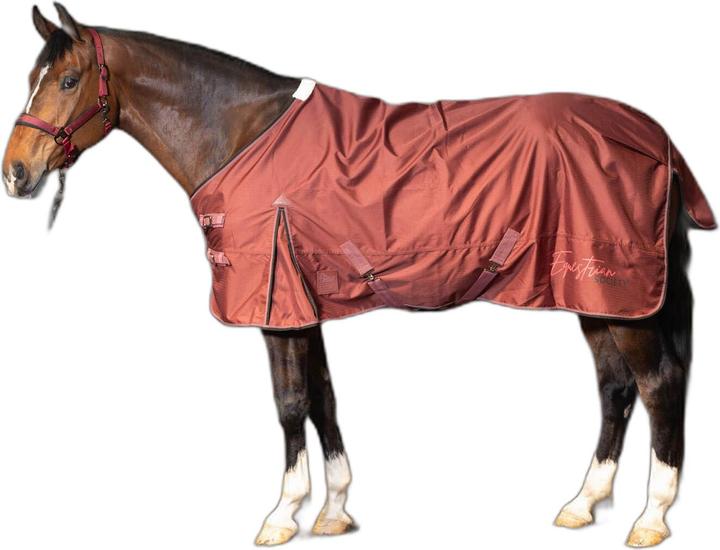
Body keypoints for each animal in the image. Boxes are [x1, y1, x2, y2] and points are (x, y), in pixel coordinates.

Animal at [2, 5, 715, 547]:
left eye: (67, 80)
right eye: (33, 76)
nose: (15, 172)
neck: (242, 135)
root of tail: (656, 139)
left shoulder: (276, 306)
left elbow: (291, 403)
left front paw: (282, 514)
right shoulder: (302, 303)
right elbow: (324, 398)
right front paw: (335, 511)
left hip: (624, 295)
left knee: (657, 385)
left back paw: (652, 517)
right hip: (595, 296)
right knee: (615, 389)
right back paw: (582, 503)